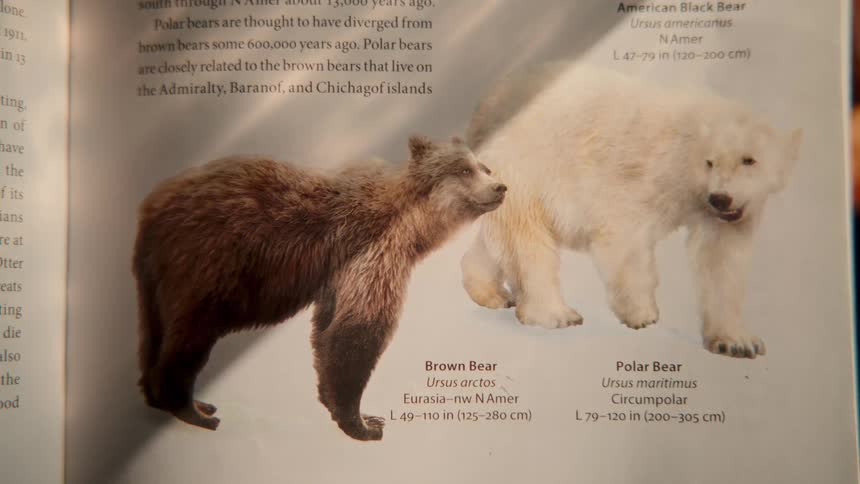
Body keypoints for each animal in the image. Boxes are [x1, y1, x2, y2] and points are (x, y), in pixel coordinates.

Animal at [133, 135, 506, 440]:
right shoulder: (372, 251)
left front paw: (345, 408)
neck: (412, 222)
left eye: (483, 167)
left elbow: (327, 330)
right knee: (187, 339)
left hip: (156, 282)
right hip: (207, 268)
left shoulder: (340, 276)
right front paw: (363, 423)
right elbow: (356, 335)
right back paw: (196, 410)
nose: (500, 186)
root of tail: (150, 209)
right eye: (464, 170)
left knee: (154, 333)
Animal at [460, 63, 802, 359]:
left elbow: (720, 257)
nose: (722, 198)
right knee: (526, 240)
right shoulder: (637, 175)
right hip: (526, 165)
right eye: (710, 161)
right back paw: (556, 314)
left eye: (749, 159)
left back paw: (492, 293)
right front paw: (643, 314)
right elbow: (623, 236)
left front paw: (737, 341)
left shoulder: (718, 213)